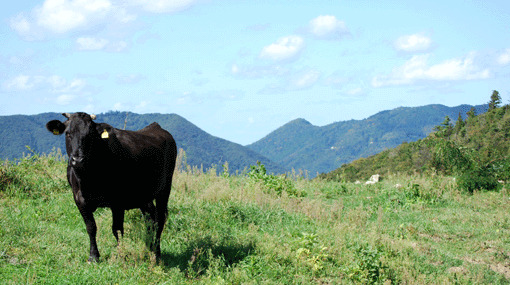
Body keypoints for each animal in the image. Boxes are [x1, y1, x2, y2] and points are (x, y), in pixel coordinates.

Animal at [46, 112, 177, 260]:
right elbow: (91, 227)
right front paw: (93, 256)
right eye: (68, 133)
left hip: (165, 188)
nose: (78, 160)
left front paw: (121, 253)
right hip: (144, 195)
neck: (88, 179)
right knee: (150, 219)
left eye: (90, 134)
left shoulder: (118, 201)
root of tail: (156, 127)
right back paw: (149, 247)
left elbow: (117, 229)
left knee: (160, 219)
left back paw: (157, 252)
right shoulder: (79, 200)